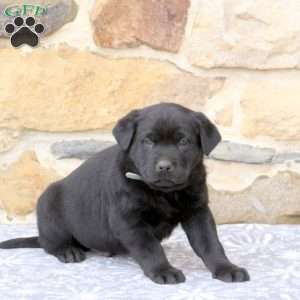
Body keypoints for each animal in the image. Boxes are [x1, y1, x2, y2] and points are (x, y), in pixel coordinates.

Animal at [0, 104, 248, 284]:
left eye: (183, 141)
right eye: (148, 141)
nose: (164, 166)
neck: (164, 193)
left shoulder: (198, 211)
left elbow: (210, 243)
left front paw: (227, 267)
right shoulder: (129, 221)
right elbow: (150, 248)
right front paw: (164, 270)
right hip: (49, 206)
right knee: (49, 242)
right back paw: (67, 251)